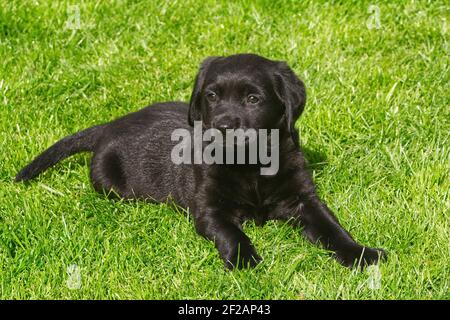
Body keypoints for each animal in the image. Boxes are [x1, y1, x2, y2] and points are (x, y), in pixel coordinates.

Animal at [15, 53, 384, 268]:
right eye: (212, 96)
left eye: (253, 99)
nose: (221, 125)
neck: (250, 164)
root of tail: (110, 125)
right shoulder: (209, 209)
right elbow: (232, 233)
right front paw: (245, 261)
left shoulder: (303, 198)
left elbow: (332, 227)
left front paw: (360, 253)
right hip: (110, 184)